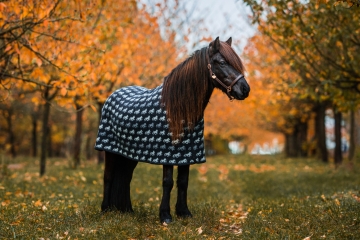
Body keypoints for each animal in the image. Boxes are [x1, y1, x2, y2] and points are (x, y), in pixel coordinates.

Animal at [94, 36, 249, 223]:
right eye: (221, 62)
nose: (245, 89)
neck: (179, 108)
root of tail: (113, 95)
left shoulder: (187, 154)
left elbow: (183, 181)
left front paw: (184, 212)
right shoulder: (167, 153)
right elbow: (168, 182)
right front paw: (165, 215)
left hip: (129, 154)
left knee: (126, 177)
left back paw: (127, 210)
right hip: (110, 150)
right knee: (108, 176)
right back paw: (105, 210)